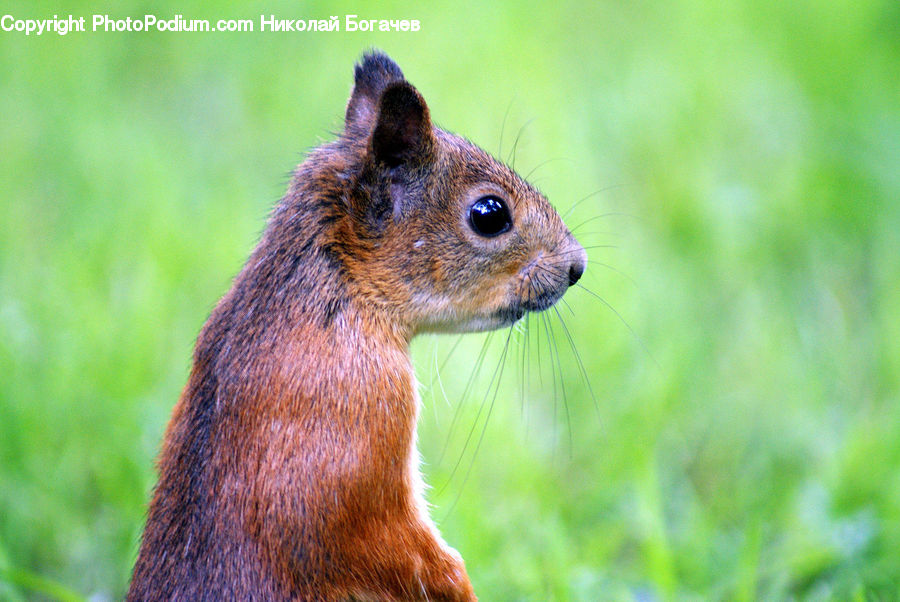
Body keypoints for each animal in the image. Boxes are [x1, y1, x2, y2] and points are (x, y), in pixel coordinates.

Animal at [127, 51, 587, 601]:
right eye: (490, 213)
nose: (577, 265)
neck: (333, 294)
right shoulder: (355, 413)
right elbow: (380, 540)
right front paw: (460, 585)